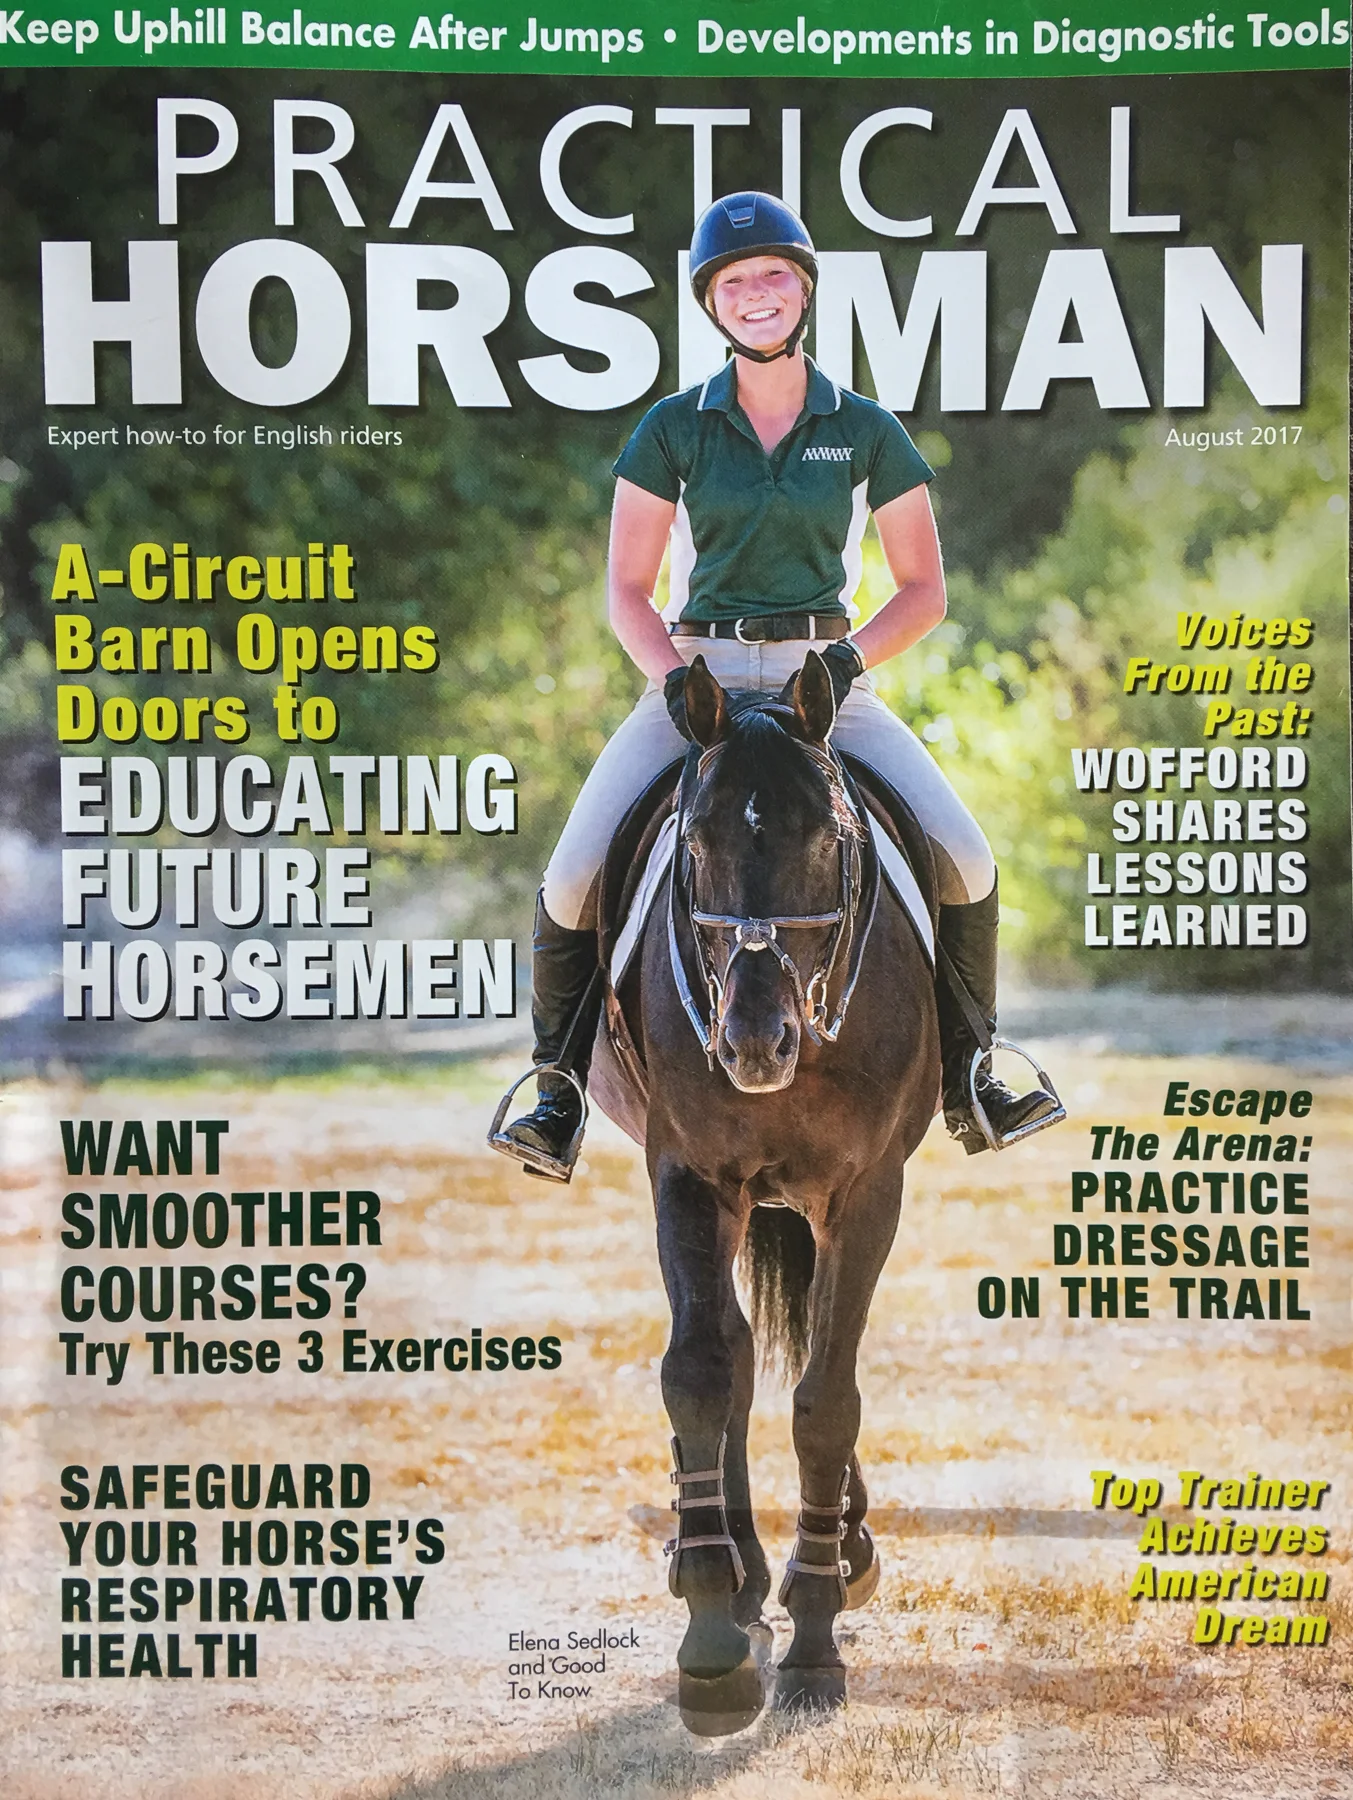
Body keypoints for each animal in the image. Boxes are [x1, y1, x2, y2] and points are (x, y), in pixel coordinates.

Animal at [590, 650, 942, 1735]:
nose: (754, 1044)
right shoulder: (689, 1175)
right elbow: (703, 1371)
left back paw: (829, 1556)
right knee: (739, 1352)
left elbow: (827, 1398)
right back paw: (736, 1575)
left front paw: (817, 1634)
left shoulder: (866, 1192)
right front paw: (711, 1633)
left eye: (829, 837)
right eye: (694, 841)